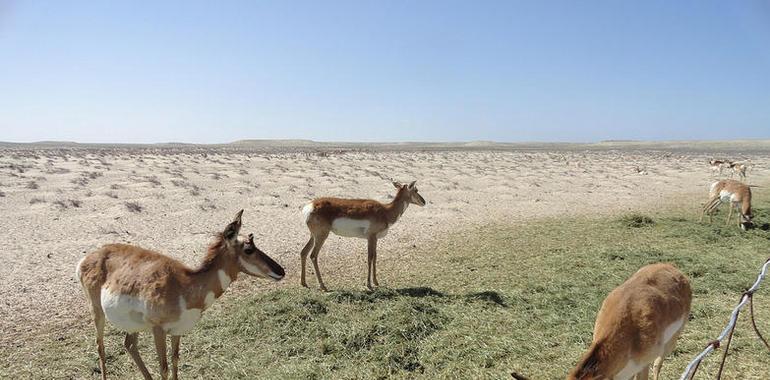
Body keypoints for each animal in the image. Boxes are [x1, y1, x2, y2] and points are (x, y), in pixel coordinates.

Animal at [77, 211, 284, 380]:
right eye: (248, 249)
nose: (281, 271)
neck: (185, 284)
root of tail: (89, 257)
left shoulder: (177, 331)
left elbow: (175, 361)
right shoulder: (158, 330)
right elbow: (164, 368)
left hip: (131, 325)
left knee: (129, 345)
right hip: (97, 312)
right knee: (101, 347)